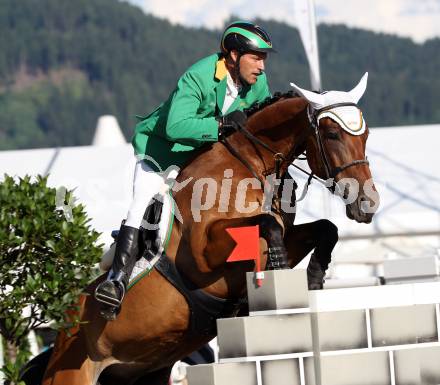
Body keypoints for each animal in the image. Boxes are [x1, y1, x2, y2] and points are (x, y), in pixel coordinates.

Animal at [40, 73, 378, 382]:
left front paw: (314, 279)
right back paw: (110, 293)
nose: (368, 203)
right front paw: (279, 267)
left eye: (366, 135)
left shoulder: (289, 233)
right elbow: (267, 225)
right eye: (332, 134)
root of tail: (62, 329)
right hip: (71, 371)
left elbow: (325, 228)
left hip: (146, 372)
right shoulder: (203, 256)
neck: (250, 165)